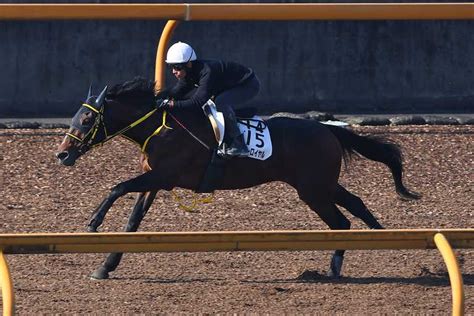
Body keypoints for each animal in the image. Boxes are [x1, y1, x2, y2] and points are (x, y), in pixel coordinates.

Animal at [55, 78, 418, 280]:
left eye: (86, 119)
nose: (62, 154)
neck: (161, 127)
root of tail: (328, 129)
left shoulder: (164, 175)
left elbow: (117, 187)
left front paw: (93, 222)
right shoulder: (155, 180)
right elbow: (132, 222)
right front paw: (105, 266)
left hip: (313, 189)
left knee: (342, 221)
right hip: (321, 185)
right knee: (353, 209)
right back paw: (364, 250)